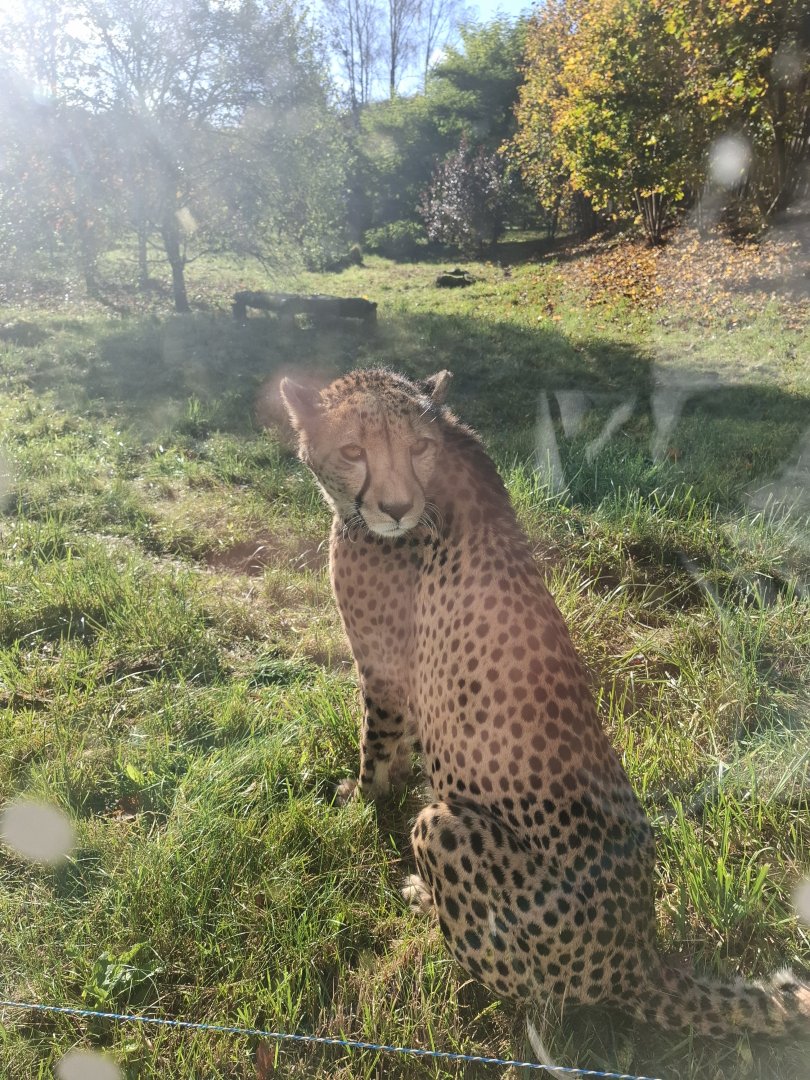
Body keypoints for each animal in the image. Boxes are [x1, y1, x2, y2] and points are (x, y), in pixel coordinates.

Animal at [280, 366, 810, 1040]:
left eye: (417, 447)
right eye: (353, 450)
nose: (396, 509)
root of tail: (638, 955)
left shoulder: (384, 672)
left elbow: (375, 745)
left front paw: (360, 799)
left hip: (444, 830)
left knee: (529, 995)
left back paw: (427, 915)